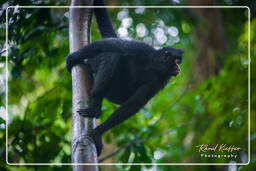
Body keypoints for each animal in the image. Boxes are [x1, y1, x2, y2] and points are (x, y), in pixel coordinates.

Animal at [65, 0, 183, 156]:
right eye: (176, 61)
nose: (179, 69)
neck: (153, 66)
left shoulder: (161, 79)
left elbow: (135, 102)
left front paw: (98, 132)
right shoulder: (141, 49)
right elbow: (110, 44)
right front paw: (73, 58)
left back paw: (95, 109)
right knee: (112, 55)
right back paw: (95, 104)